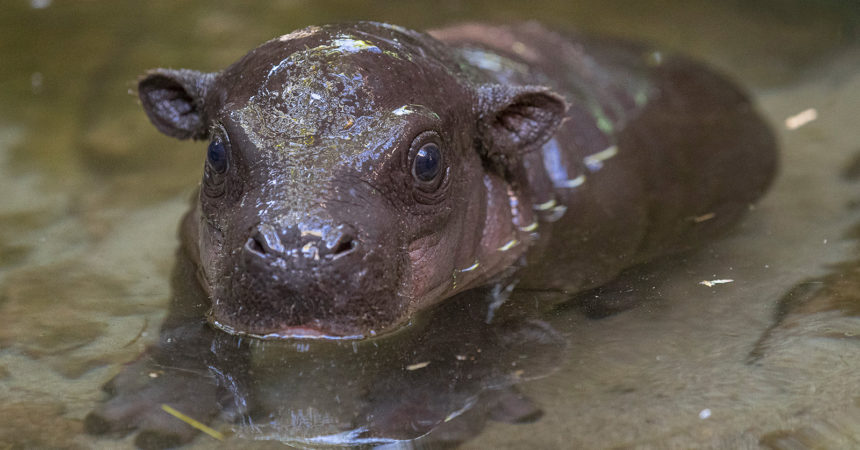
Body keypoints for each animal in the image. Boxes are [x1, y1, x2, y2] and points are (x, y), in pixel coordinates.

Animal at [138, 21, 776, 339]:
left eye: (427, 161)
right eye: (216, 151)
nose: (300, 247)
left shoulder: (542, 278)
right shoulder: (188, 253)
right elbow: (182, 326)